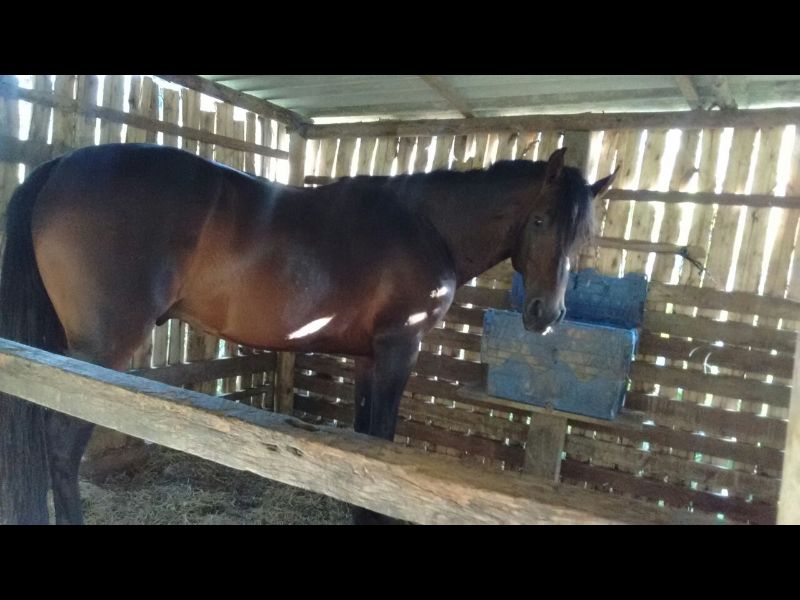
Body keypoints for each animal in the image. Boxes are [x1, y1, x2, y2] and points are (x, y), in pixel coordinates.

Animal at [0, 142, 616, 525]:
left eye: (584, 235)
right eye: (541, 221)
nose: (545, 314)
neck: (425, 226)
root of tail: (62, 165)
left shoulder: (371, 357)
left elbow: (367, 444)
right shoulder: (399, 349)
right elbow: (380, 440)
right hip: (101, 352)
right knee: (61, 445)